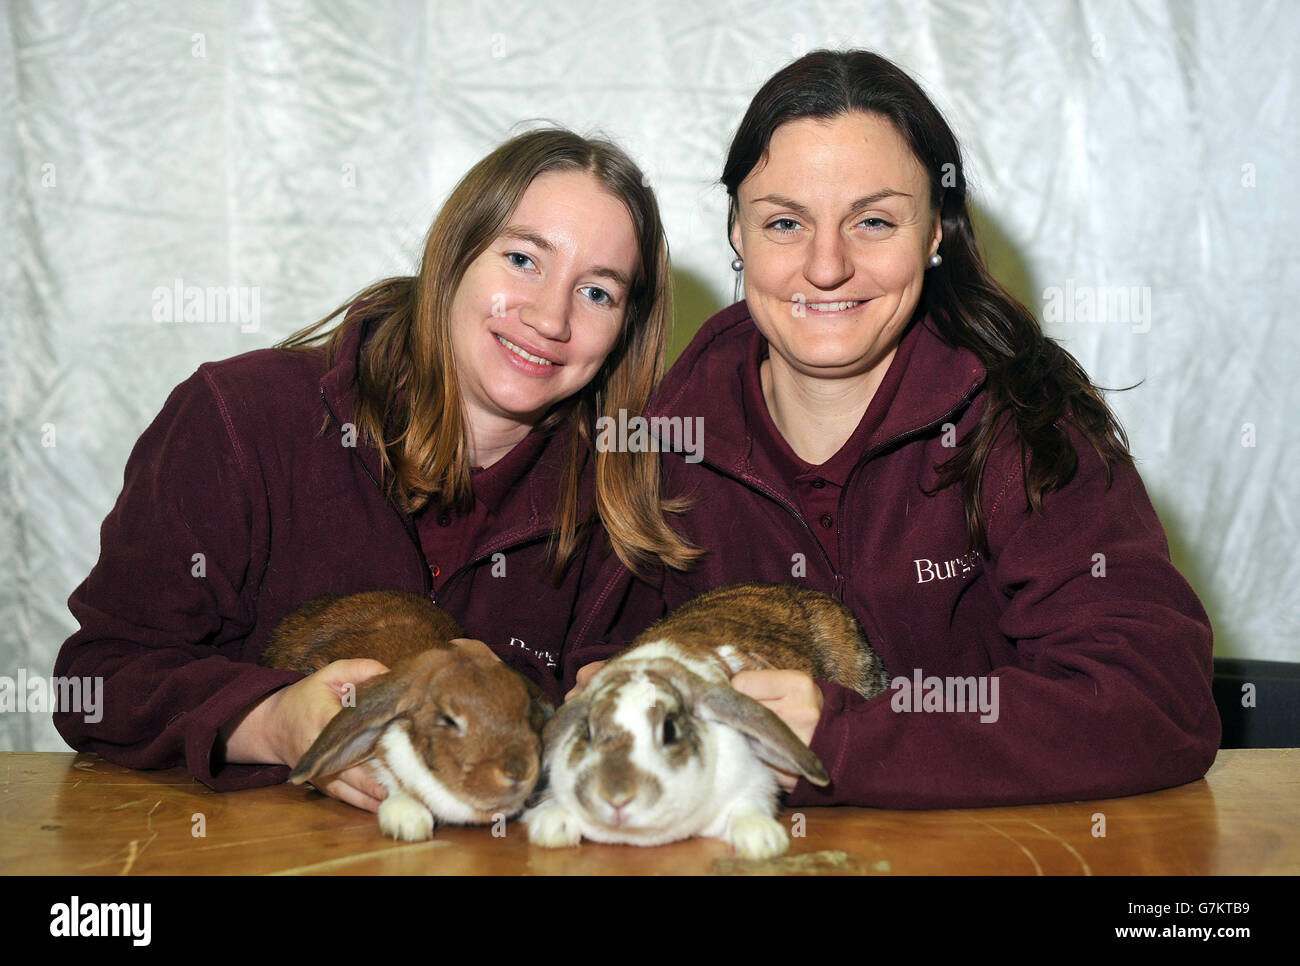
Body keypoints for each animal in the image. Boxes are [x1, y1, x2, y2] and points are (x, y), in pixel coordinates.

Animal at [524, 582, 887, 860]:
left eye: (669, 731)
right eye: (586, 732)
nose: (616, 796)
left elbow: (749, 809)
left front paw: (762, 840)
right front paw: (552, 824)